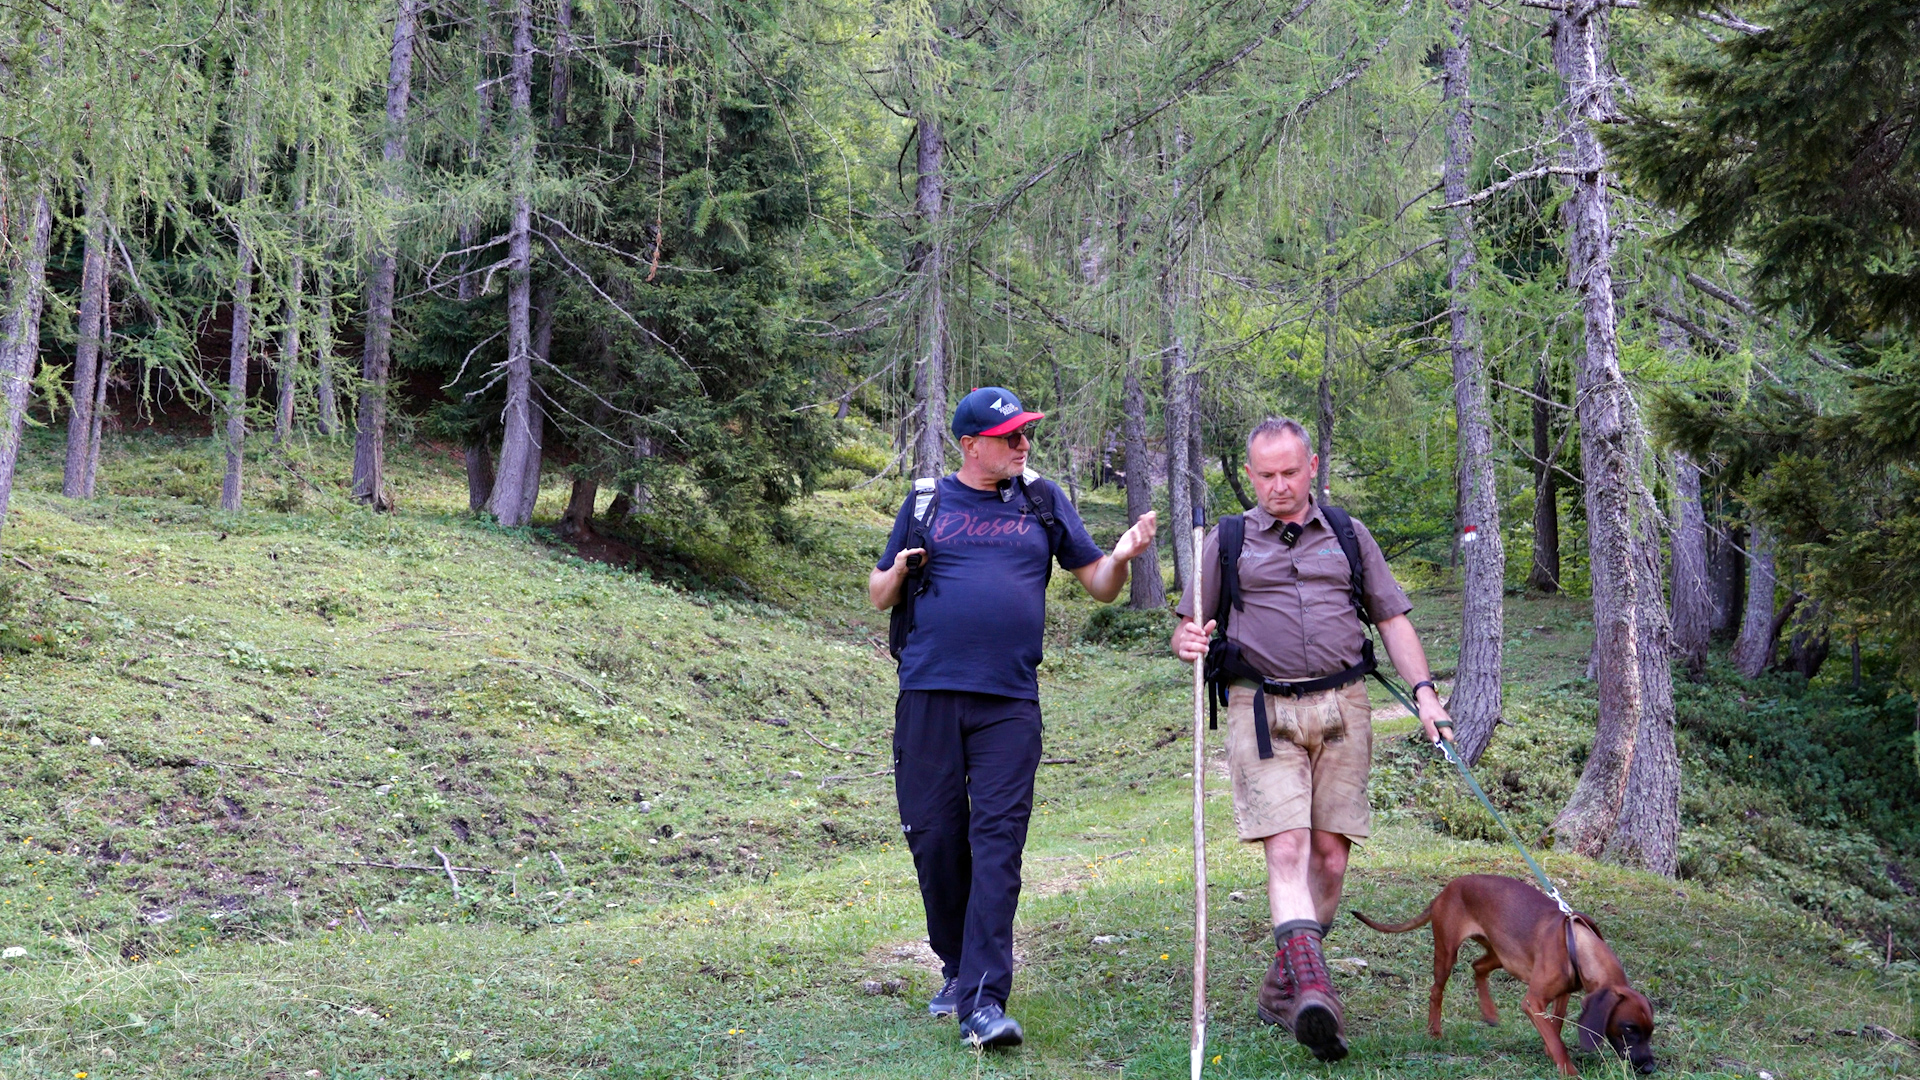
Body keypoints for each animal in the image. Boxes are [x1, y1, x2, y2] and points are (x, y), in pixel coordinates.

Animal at [1351, 868, 1651, 1068]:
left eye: (1650, 1031)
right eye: (1629, 1028)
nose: (1649, 1068)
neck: (1578, 943)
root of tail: (1444, 891)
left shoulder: (1563, 994)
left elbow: (1554, 1025)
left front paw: (1550, 1050)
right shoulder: (1533, 1001)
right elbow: (1554, 1036)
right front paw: (1567, 1068)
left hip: (1501, 954)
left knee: (1477, 967)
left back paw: (1489, 1012)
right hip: (1447, 952)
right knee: (1437, 991)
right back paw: (1435, 1032)